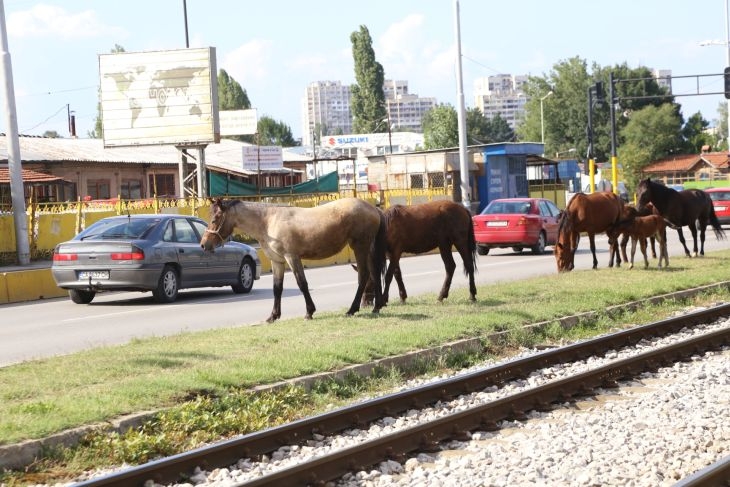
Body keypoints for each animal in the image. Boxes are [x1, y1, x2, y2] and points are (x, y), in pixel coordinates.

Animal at [199, 198, 386, 324]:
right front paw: (273, 316)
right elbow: (277, 288)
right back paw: (376, 307)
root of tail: (373, 209)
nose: (203, 244)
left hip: (360, 247)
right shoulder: (278, 261)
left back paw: (352, 309)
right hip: (367, 249)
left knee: (364, 275)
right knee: (375, 274)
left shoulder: (292, 257)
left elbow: (302, 284)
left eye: (215, 219)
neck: (268, 221)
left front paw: (309, 312)